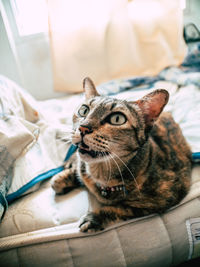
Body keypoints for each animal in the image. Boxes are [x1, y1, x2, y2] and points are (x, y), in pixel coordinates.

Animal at [50, 77, 191, 232]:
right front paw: (62, 178)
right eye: (83, 110)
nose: (83, 127)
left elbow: (120, 209)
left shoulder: (167, 196)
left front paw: (93, 218)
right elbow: (66, 177)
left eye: (117, 119)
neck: (100, 174)